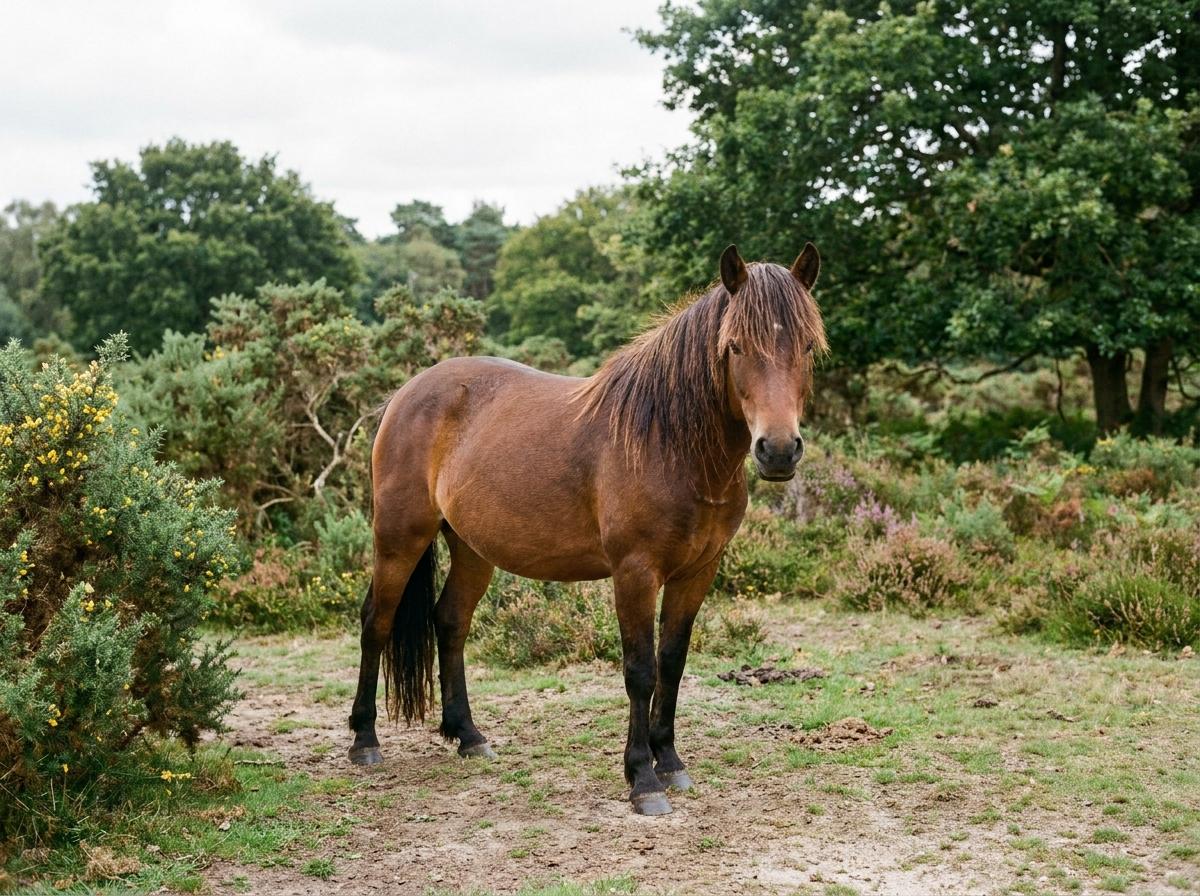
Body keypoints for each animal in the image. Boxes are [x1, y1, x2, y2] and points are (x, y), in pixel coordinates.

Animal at [347, 244, 826, 815]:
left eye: (806, 346)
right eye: (734, 346)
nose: (778, 451)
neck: (669, 443)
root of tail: (406, 393)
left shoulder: (697, 573)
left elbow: (672, 661)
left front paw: (671, 762)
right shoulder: (635, 573)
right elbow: (640, 670)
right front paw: (643, 778)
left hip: (471, 549)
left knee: (450, 622)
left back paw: (468, 736)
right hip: (399, 538)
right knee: (376, 621)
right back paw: (365, 740)